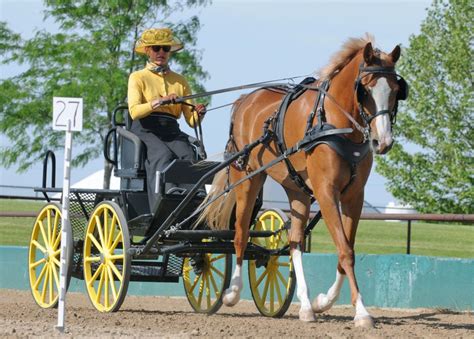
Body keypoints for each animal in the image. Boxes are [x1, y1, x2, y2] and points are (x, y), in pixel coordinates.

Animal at [200, 35, 408, 328]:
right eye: (365, 90)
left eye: (395, 90)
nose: (383, 141)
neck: (335, 123)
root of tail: (245, 99)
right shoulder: (326, 192)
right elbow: (345, 251)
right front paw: (362, 313)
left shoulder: (353, 196)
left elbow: (346, 250)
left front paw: (323, 302)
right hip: (248, 178)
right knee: (240, 233)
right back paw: (232, 292)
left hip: (296, 189)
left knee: (295, 241)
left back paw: (307, 307)